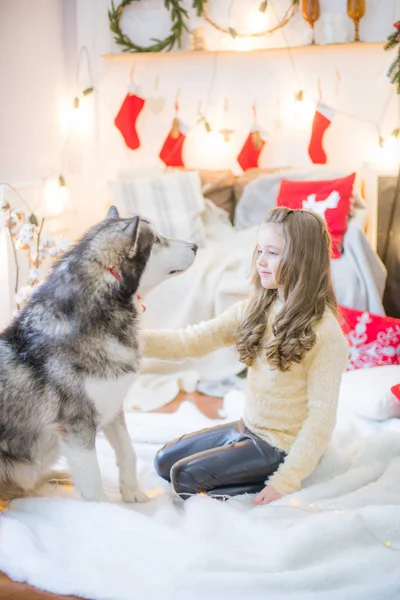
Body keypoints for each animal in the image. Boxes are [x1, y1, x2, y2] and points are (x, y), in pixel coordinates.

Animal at [0, 206, 198, 502]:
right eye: (157, 240)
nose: (195, 246)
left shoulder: (112, 406)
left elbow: (128, 451)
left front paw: (132, 492)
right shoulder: (77, 427)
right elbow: (93, 483)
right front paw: (107, 509)